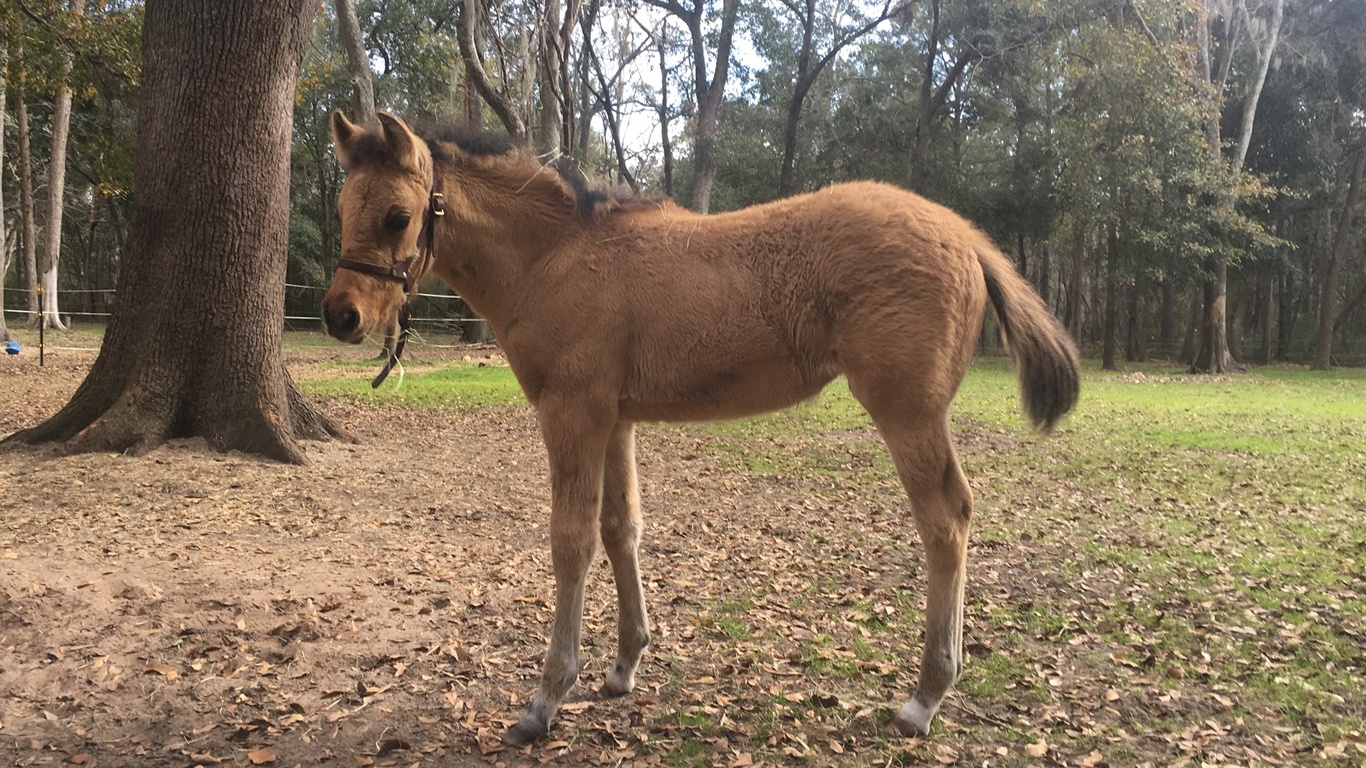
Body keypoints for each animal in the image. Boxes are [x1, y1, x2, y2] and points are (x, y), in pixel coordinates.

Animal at [319, 109, 1076, 743]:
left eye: (398, 216)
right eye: (342, 209)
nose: (340, 316)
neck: (555, 257)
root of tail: (965, 235)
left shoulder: (572, 414)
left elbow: (570, 543)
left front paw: (545, 699)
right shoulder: (615, 421)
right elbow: (621, 530)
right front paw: (624, 667)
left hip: (907, 412)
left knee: (947, 520)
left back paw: (924, 697)